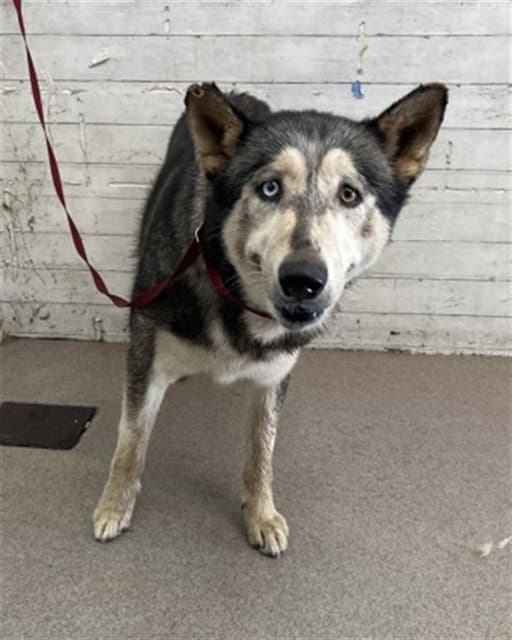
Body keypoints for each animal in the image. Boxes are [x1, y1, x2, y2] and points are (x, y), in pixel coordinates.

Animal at [93, 82, 447, 556]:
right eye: (270, 188)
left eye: (349, 194)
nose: (303, 279)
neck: (232, 293)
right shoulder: (146, 359)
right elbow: (130, 441)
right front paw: (114, 506)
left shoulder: (272, 377)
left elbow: (261, 453)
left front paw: (260, 515)